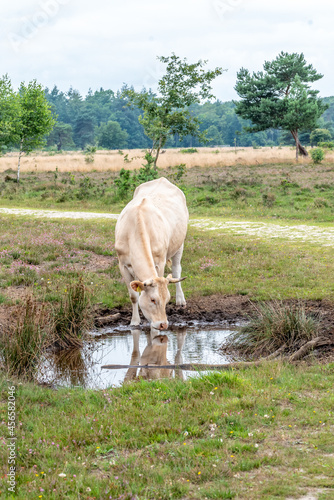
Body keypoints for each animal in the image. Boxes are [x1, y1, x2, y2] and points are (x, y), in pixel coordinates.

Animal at [115, 178, 188, 330]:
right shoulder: (122, 264)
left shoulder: (159, 262)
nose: (163, 325)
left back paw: (180, 299)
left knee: (176, 270)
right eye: (153, 299)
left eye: (167, 299)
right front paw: (135, 321)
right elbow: (133, 296)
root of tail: (162, 179)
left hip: (180, 244)